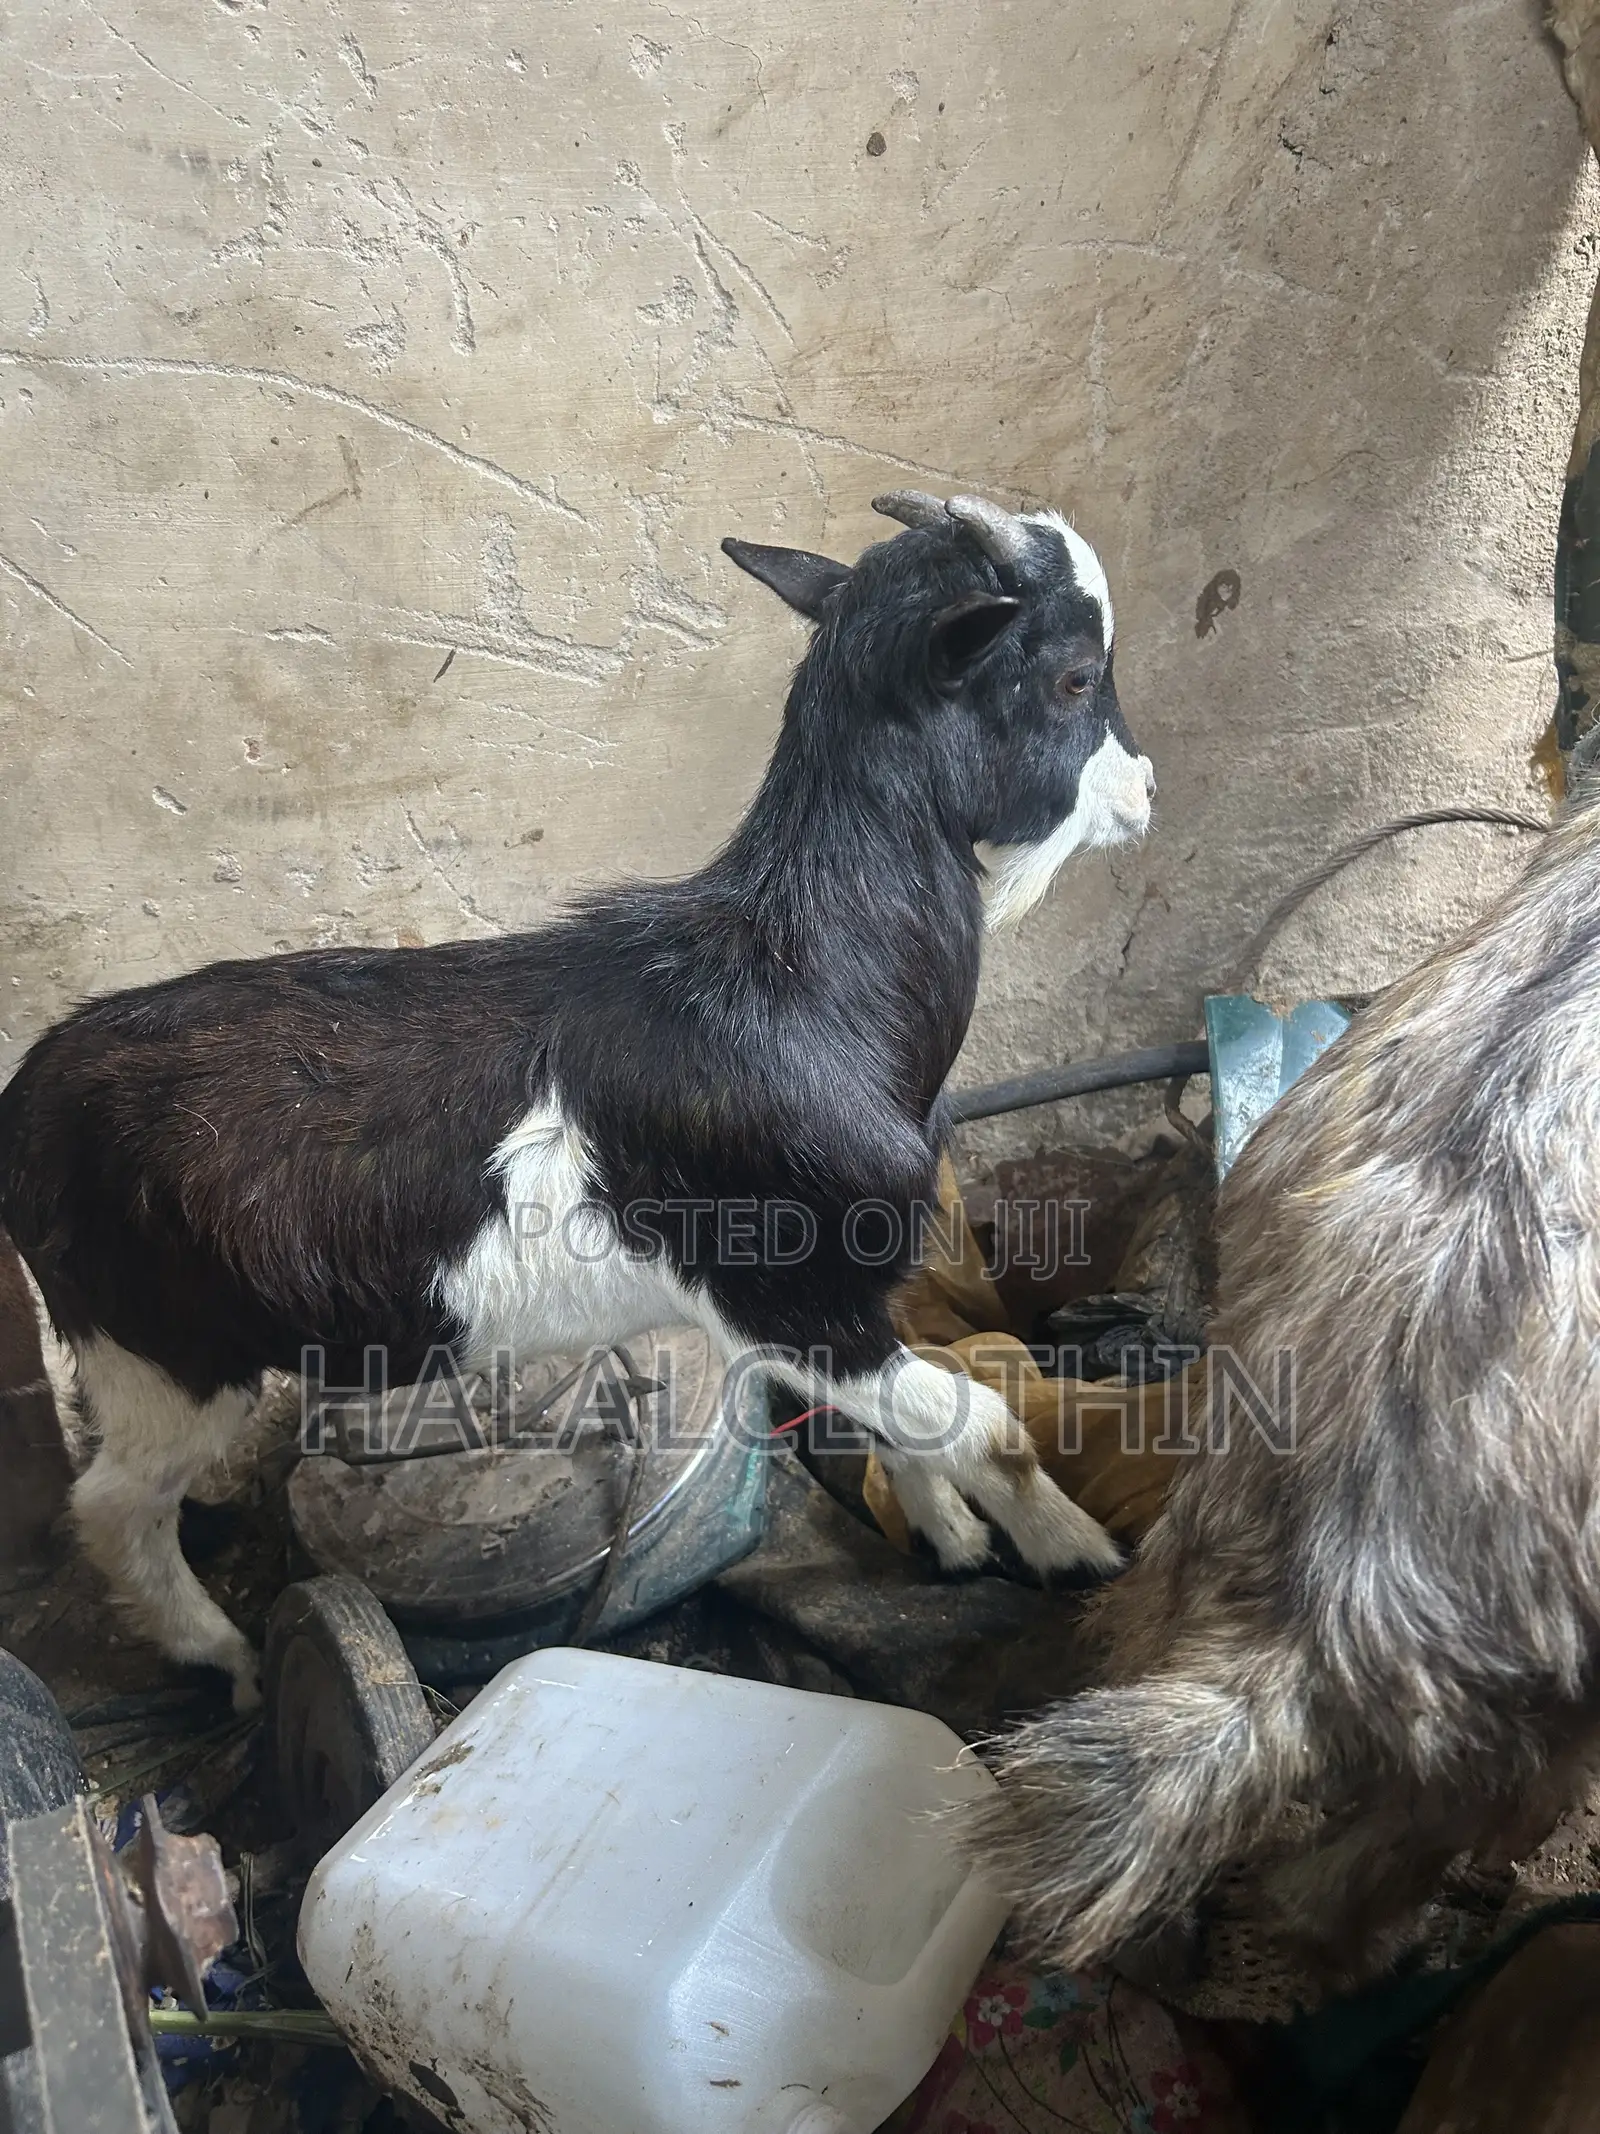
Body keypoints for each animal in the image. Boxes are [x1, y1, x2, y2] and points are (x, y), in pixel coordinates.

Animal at [0, 491, 1153, 1707]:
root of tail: (29, 1094)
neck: (802, 982)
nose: (1148, 791)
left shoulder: (840, 1299)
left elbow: (912, 1422)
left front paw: (951, 1539)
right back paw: (223, 1654)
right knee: (111, 1503)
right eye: (1076, 675)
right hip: (163, 1358)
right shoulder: (791, 1297)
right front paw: (1076, 1553)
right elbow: (987, 1424)